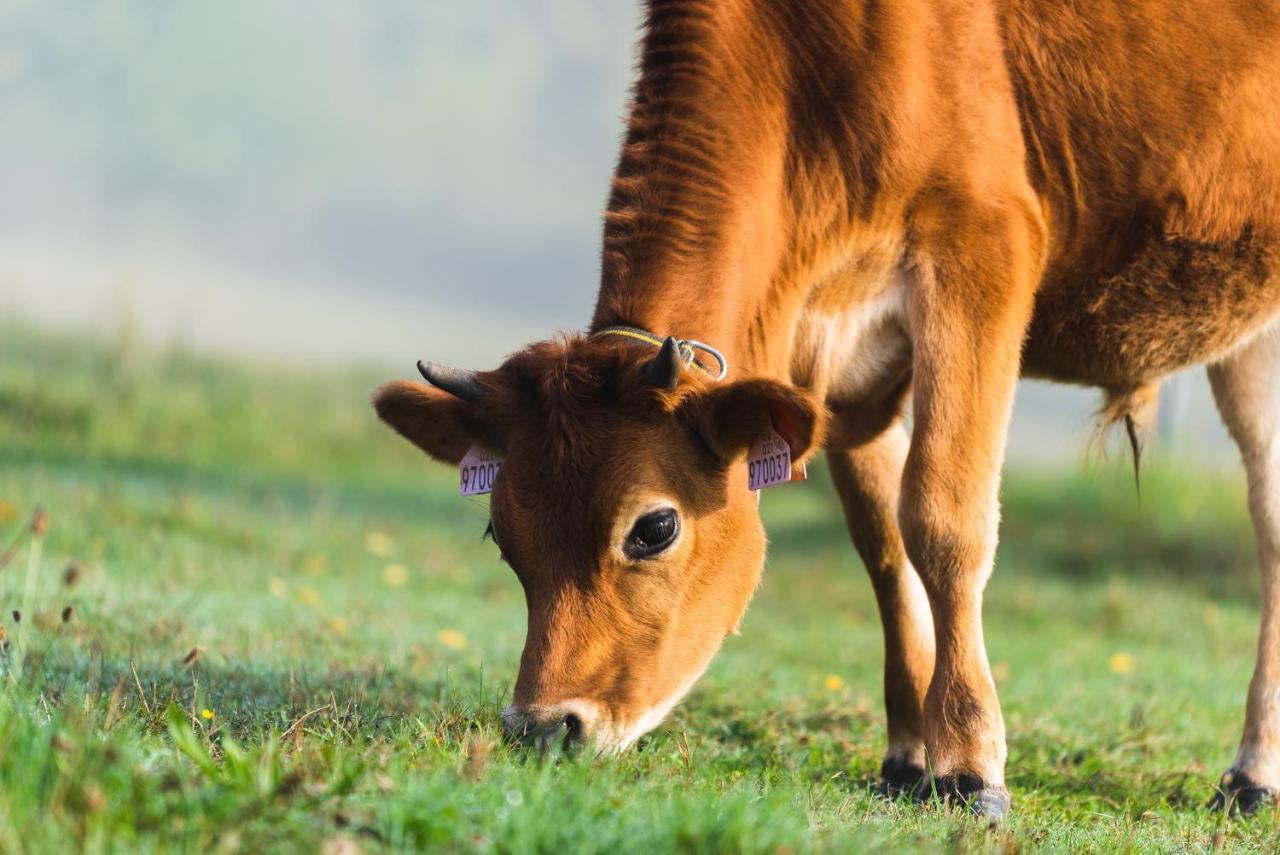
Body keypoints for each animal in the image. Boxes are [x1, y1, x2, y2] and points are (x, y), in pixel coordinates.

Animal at [373, 0, 1280, 814]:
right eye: (502, 530)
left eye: (653, 527)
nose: (542, 727)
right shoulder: (836, 360)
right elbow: (884, 543)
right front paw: (909, 755)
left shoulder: (982, 244)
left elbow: (944, 519)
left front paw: (969, 764)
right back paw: (1254, 772)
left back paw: (1251, 772)